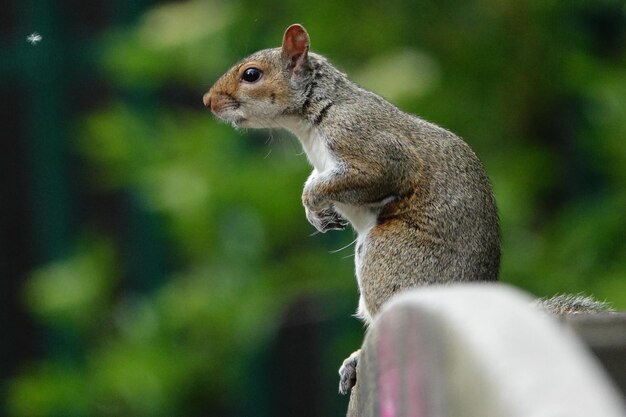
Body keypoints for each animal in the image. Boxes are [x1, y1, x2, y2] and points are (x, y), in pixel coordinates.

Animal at [204, 22, 608, 394]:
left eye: (251, 74)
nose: (208, 101)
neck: (314, 117)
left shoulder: (368, 145)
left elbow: (362, 177)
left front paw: (315, 201)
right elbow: (313, 181)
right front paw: (316, 211)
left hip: (387, 255)